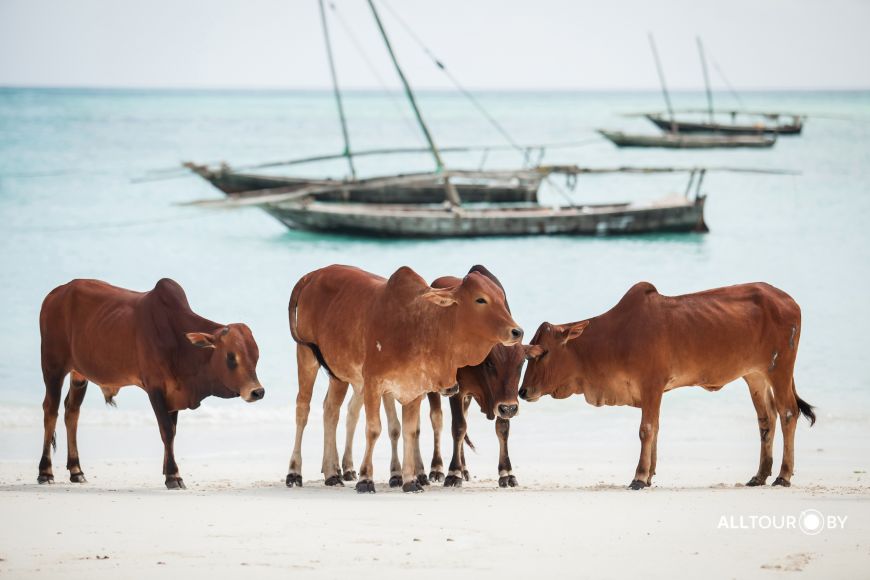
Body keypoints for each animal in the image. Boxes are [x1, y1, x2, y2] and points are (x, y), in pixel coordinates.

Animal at [40, 278, 266, 488]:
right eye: (231, 357)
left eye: (256, 356)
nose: (257, 391)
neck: (179, 340)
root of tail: (55, 294)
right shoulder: (154, 387)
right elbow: (166, 430)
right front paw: (174, 475)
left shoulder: (174, 393)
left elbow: (173, 431)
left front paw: (167, 471)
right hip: (52, 367)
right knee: (51, 410)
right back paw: (45, 472)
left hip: (79, 375)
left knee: (72, 412)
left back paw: (76, 471)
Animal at [286, 266, 520, 492]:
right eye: (480, 299)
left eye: (501, 297)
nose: (517, 331)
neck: (420, 326)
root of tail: (312, 275)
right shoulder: (373, 384)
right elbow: (374, 430)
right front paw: (366, 480)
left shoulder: (414, 389)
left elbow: (410, 431)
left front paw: (410, 481)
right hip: (306, 356)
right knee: (303, 410)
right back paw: (295, 472)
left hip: (338, 374)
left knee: (331, 411)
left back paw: (332, 473)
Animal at [524, 280, 816, 490]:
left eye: (544, 352)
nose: (523, 391)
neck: (614, 337)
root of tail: (789, 301)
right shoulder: (653, 391)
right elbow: (656, 428)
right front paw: (650, 475)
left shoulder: (652, 385)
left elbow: (646, 429)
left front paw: (639, 477)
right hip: (755, 375)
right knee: (767, 419)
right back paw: (760, 475)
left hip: (779, 369)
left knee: (788, 413)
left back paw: (783, 475)